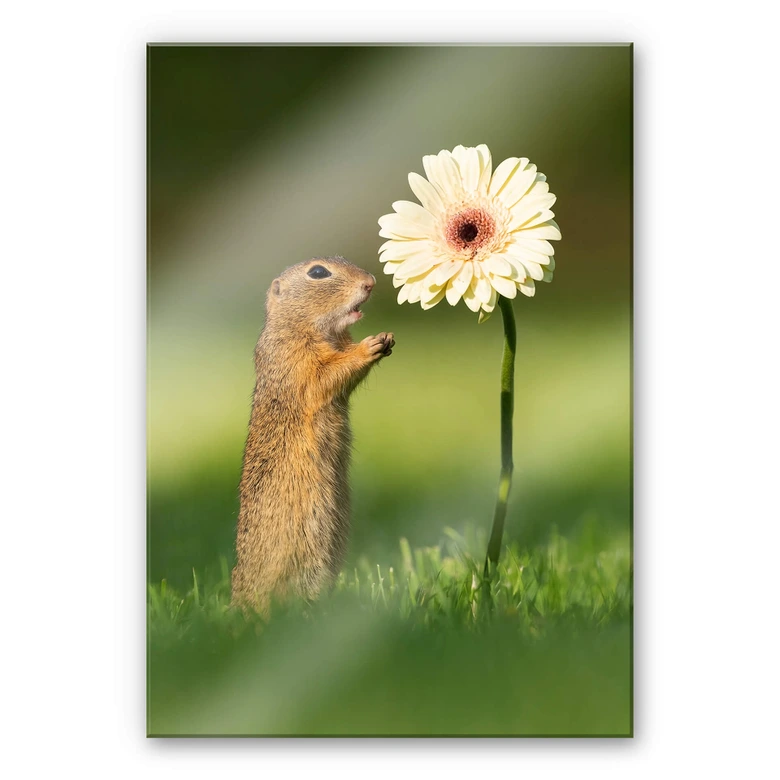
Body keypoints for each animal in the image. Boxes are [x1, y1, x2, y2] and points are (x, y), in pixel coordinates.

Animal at [231, 256, 394, 612]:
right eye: (318, 272)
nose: (371, 282)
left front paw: (387, 339)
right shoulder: (297, 361)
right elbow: (325, 377)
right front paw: (370, 345)